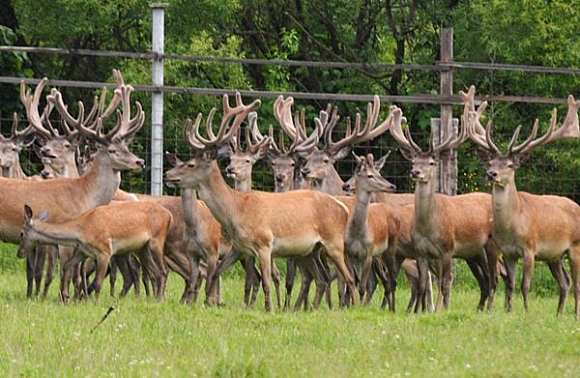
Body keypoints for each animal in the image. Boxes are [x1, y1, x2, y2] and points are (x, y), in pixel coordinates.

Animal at [164, 92, 358, 310]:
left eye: (190, 164)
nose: (167, 174)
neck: (237, 210)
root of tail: (343, 208)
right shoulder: (239, 248)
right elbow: (216, 273)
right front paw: (210, 302)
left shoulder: (264, 243)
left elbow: (265, 280)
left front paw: (270, 308)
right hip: (310, 250)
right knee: (323, 278)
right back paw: (313, 309)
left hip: (334, 242)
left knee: (350, 277)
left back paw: (357, 306)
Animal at [388, 102, 496, 312]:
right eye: (414, 161)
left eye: (431, 162)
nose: (415, 172)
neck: (429, 226)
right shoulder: (421, 252)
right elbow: (423, 284)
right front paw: (418, 312)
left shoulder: (447, 249)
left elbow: (445, 282)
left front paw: (443, 310)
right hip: (474, 252)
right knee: (486, 279)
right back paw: (481, 309)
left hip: (492, 244)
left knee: (495, 277)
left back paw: (490, 309)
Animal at [466, 86, 580, 316]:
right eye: (490, 162)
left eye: (510, 165)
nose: (491, 174)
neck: (512, 224)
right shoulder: (508, 252)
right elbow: (510, 284)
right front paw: (509, 310)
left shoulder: (530, 248)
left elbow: (525, 284)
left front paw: (526, 311)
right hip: (555, 255)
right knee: (565, 282)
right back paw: (558, 313)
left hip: (575, 245)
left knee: (577, 284)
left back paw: (574, 315)